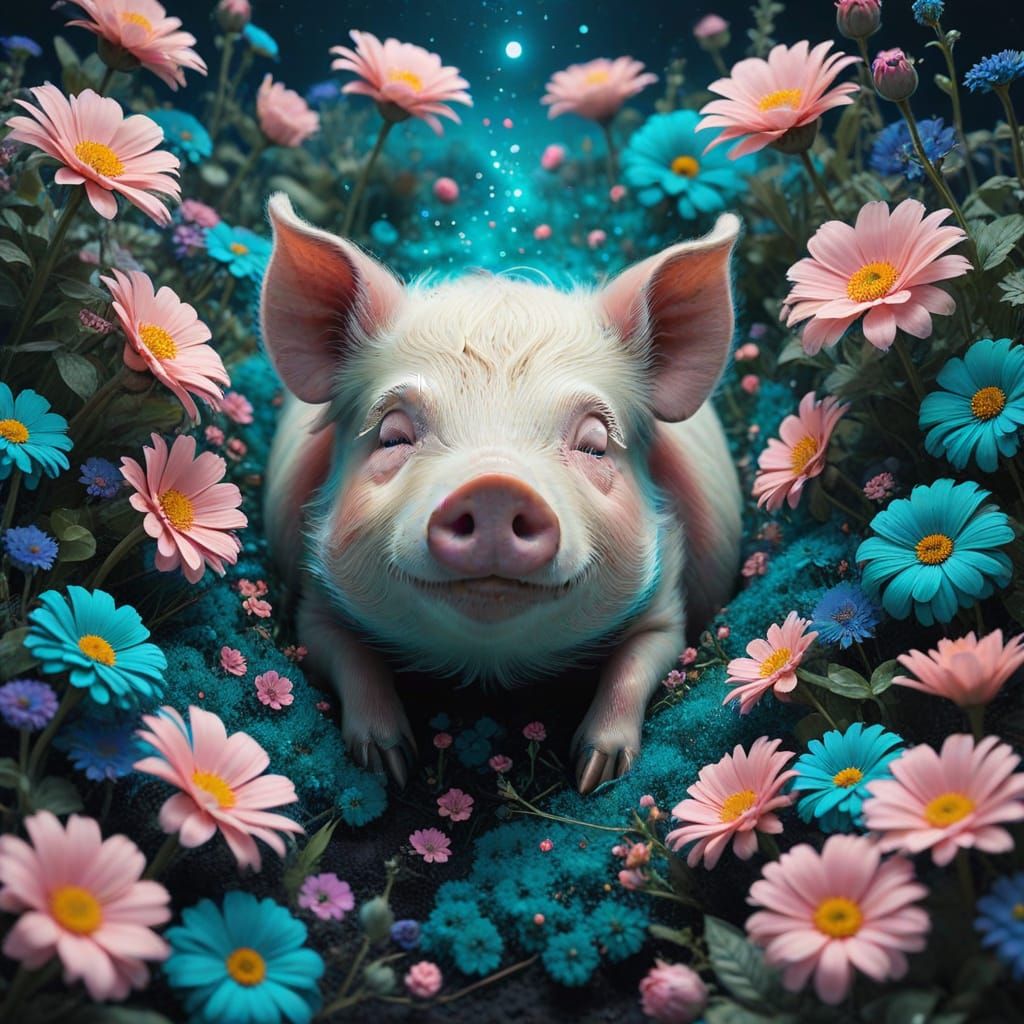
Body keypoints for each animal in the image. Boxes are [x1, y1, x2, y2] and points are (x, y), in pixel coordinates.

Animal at [260, 193, 742, 794]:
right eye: (393, 434)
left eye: (594, 443)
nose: (495, 487)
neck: (488, 665)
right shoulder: (314, 599)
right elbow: (347, 656)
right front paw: (389, 764)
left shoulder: (666, 602)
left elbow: (640, 660)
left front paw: (595, 774)